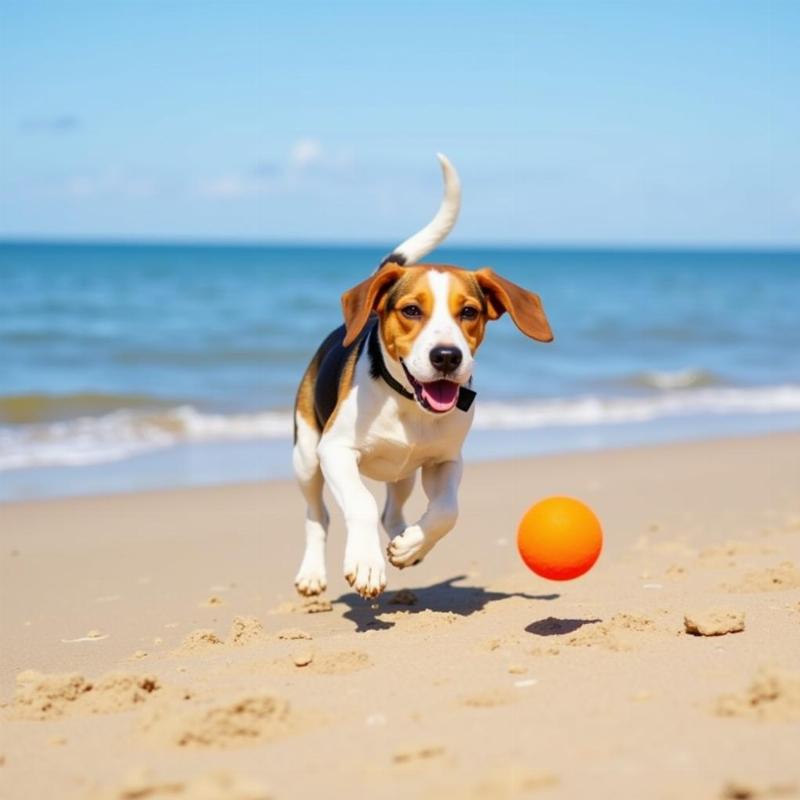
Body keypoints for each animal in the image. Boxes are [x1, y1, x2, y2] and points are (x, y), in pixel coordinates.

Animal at [292, 155, 552, 600]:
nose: (446, 356)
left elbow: (448, 510)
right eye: (411, 310)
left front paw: (412, 544)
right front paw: (366, 564)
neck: (406, 403)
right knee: (317, 515)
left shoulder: (445, 460)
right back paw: (312, 574)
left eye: (469, 312)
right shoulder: (336, 451)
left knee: (391, 511)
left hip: (404, 474)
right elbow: (359, 503)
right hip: (307, 457)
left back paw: (404, 540)